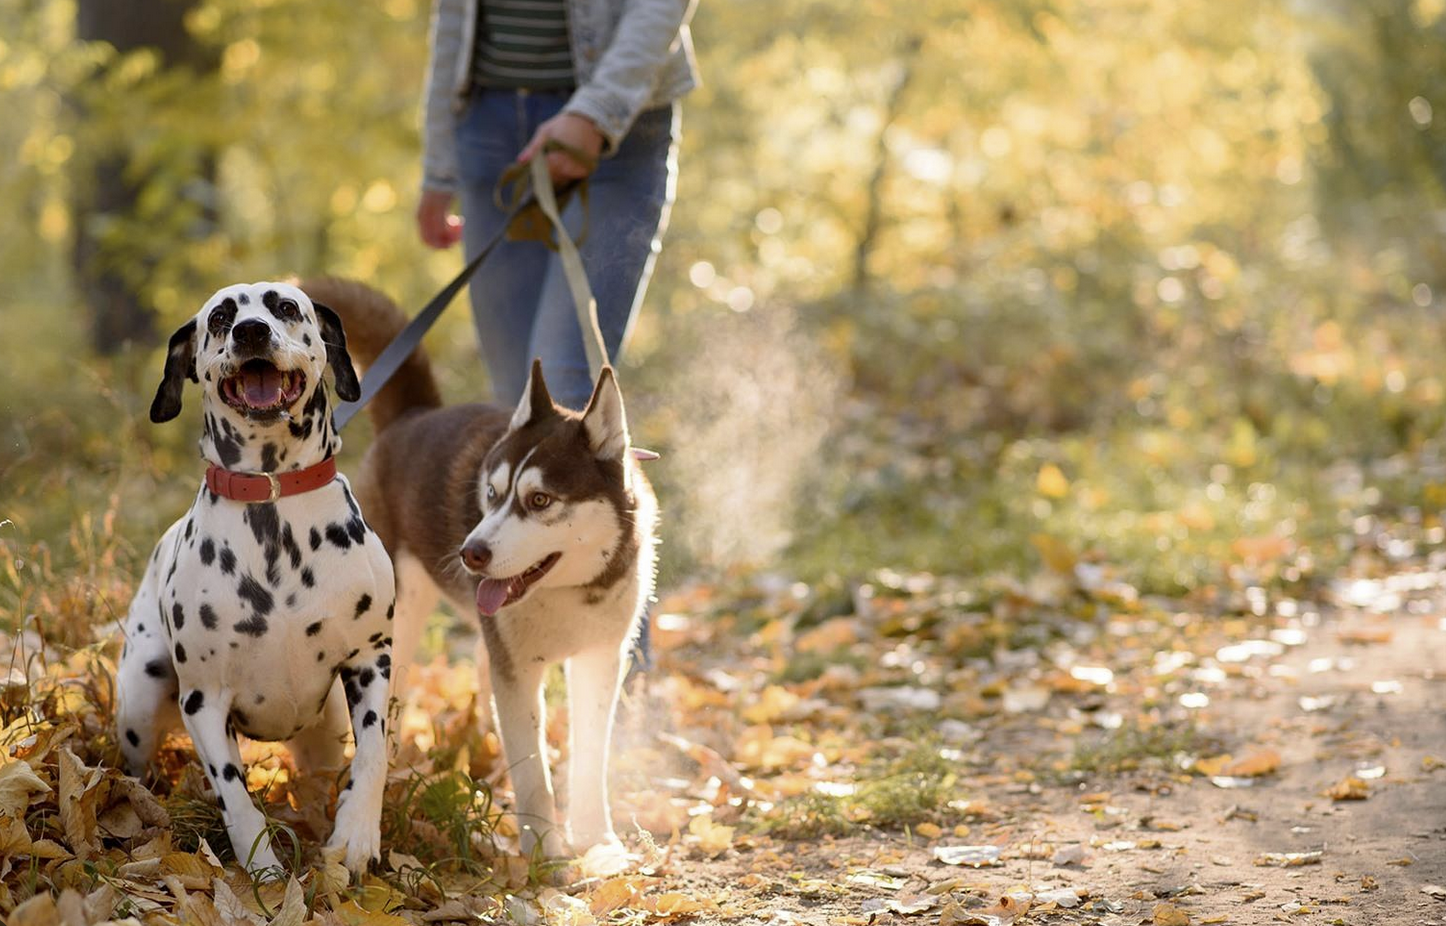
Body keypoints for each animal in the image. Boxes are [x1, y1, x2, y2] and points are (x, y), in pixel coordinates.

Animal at [114, 280, 396, 873]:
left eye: (286, 306)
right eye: (221, 317)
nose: (251, 332)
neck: (273, 501)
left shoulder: (371, 658)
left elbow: (375, 753)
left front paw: (356, 835)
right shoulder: (203, 701)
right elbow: (234, 793)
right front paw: (262, 869)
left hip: (327, 728)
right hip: (141, 697)